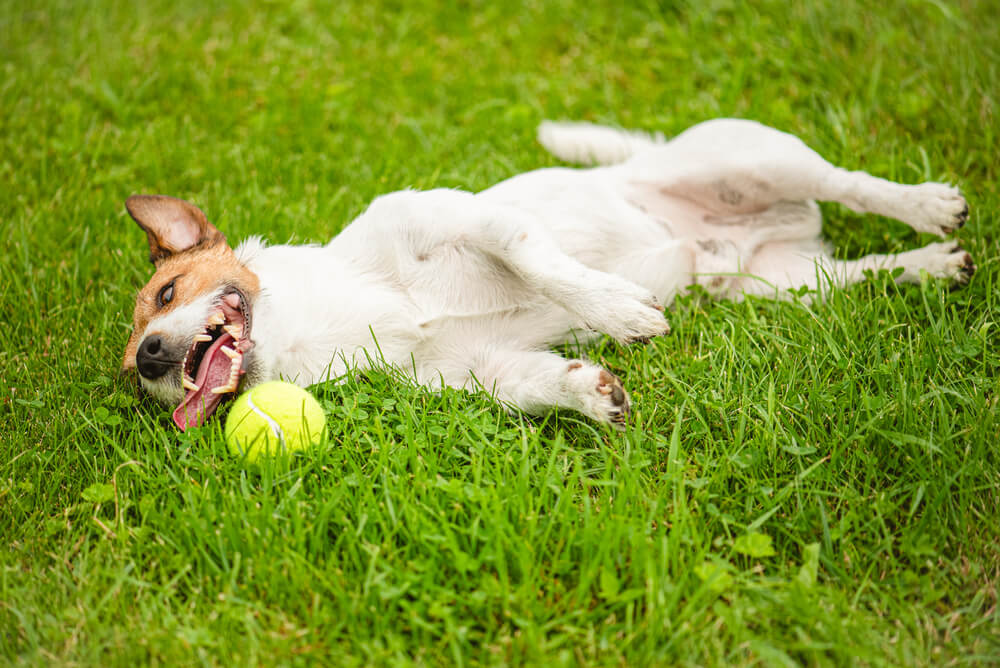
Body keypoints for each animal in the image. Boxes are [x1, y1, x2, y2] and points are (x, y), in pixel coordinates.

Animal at [123, 118, 976, 434]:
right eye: (134, 377)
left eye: (166, 295)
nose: (154, 358)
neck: (352, 306)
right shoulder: (478, 371)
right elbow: (536, 387)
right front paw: (593, 395)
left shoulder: (478, 223)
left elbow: (544, 262)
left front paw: (619, 311)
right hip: (785, 286)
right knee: (865, 273)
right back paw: (930, 266)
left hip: (759, 159)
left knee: (851, 183)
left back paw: (927, 206)